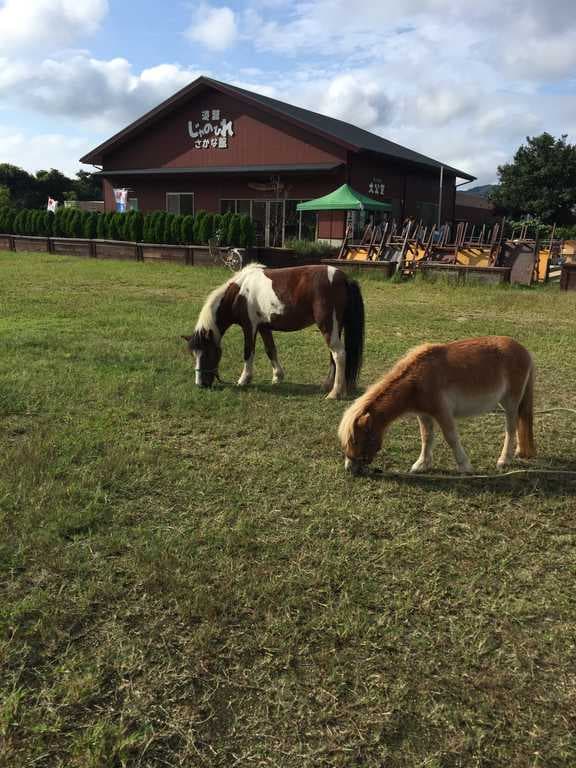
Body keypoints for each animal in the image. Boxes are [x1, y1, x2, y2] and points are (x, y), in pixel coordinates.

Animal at [183, 262, 364, 400]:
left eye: (207, 353)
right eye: (193, 354)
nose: (200, 384)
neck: (239, 292)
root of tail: (343, 277)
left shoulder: (249, 326)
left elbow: (248, 352)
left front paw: (243, 380)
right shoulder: (264, 327)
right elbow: (271, 350)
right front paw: (277, 377)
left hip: (328, 325)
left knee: (339, 354)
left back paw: (334, 393)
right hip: (335, 327)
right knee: (334, 356)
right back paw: (328, 386)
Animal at [338, 336, 536, 474]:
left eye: (355, 440)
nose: (350, 468)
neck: (417, 381)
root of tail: (524, 351)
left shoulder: (442, 413)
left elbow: (451, 438)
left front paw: (464, 466)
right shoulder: (424, 414)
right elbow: (426, 437)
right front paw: (422, 464)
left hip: (510, 403)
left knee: (511, 428)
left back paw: (504, 460)